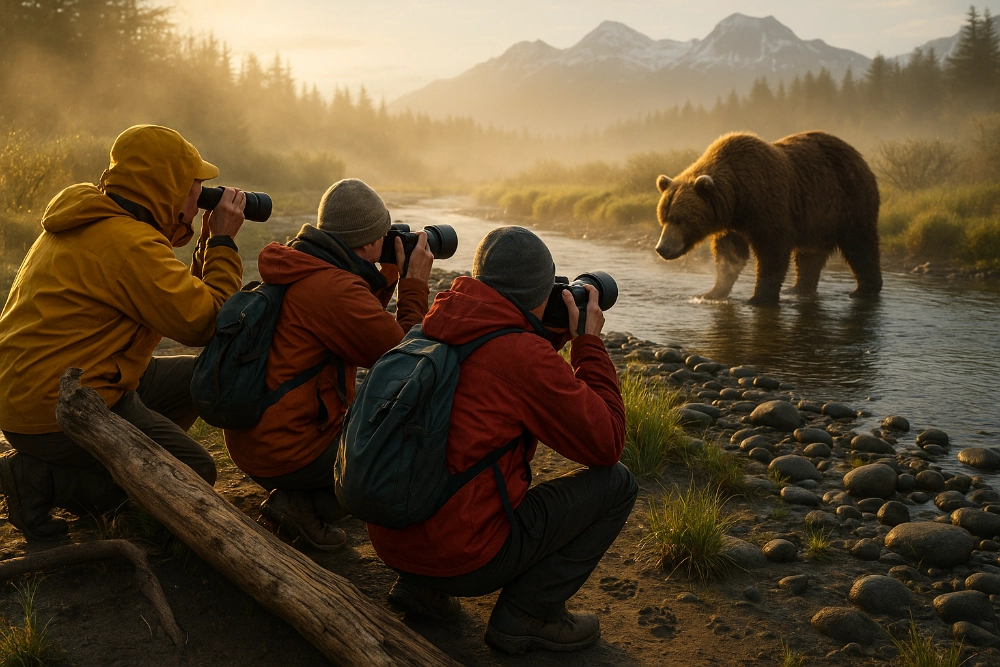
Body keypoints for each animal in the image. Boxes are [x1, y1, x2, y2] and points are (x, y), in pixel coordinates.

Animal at [654, 131, 882, 306]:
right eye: (663, 218)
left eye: (681, 219)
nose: (662, 248)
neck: (738, 198)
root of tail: (858, 155)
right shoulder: (733, 224)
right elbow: (729, 254)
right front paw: (712, 292)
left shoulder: (767, 206)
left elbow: (772, 251)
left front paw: (759, 298)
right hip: (817, 220)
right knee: (809, 254)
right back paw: (798, 288)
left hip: (849, 201)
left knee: (860, 245)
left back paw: (864, 290)